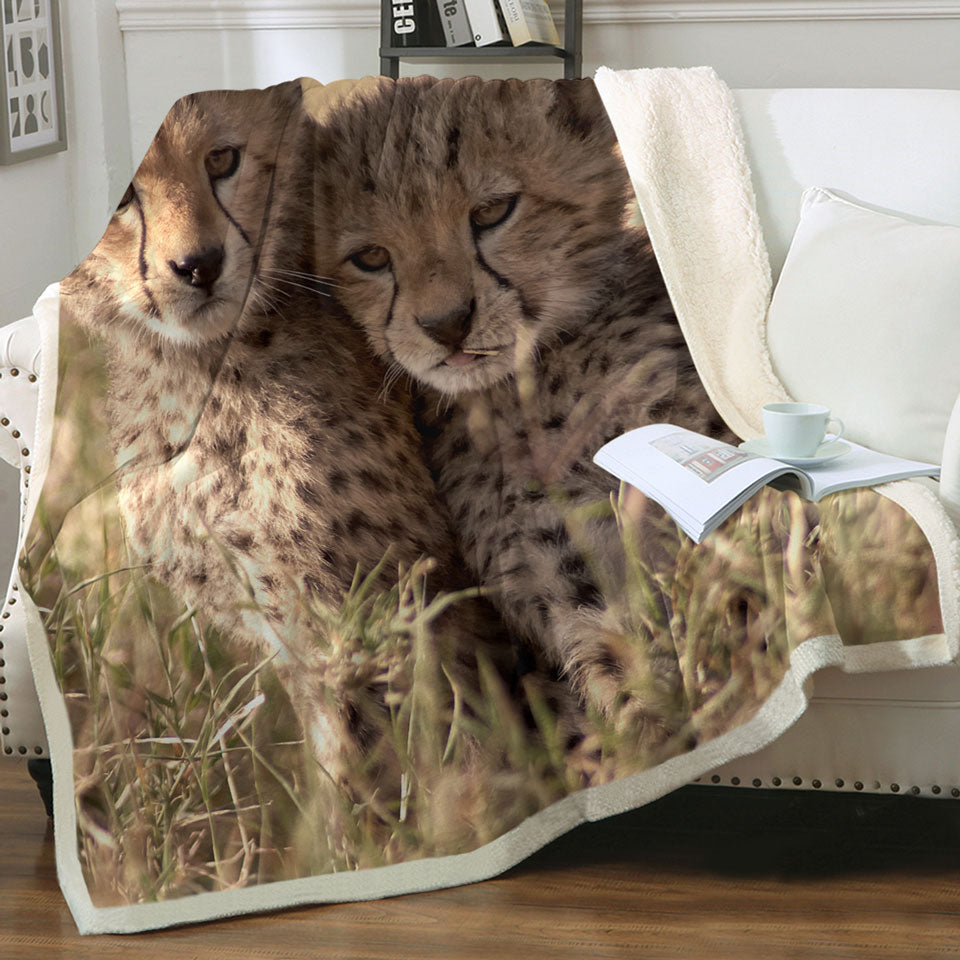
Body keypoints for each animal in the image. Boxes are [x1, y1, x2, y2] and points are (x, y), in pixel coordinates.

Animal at [313, 75, 738, 753]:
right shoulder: (568, 571)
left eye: (492, 212)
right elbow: (631, 681)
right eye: (371, 257)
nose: (446, 324)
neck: (537, 382)